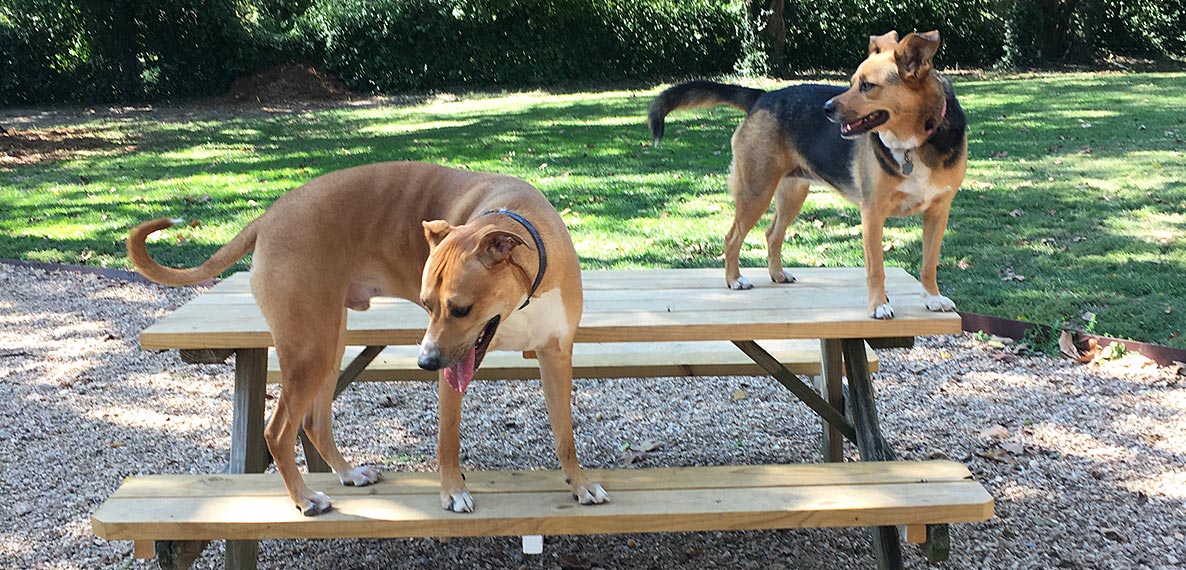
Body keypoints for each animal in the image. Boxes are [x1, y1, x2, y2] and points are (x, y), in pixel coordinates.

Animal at [649, 31, 963, 317]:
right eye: (851, 82)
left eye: (867, 86)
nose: (826, 108)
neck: (914, 142)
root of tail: (764, 96)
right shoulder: (873, 212)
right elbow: (876, 268)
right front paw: (878, 306)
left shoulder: (938, 212)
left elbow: (928, 264)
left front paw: (933, 298)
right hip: (756, 191)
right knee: (732, 237)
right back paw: (734, 280)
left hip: (792, 194)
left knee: (772, 234)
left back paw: (777, 274)